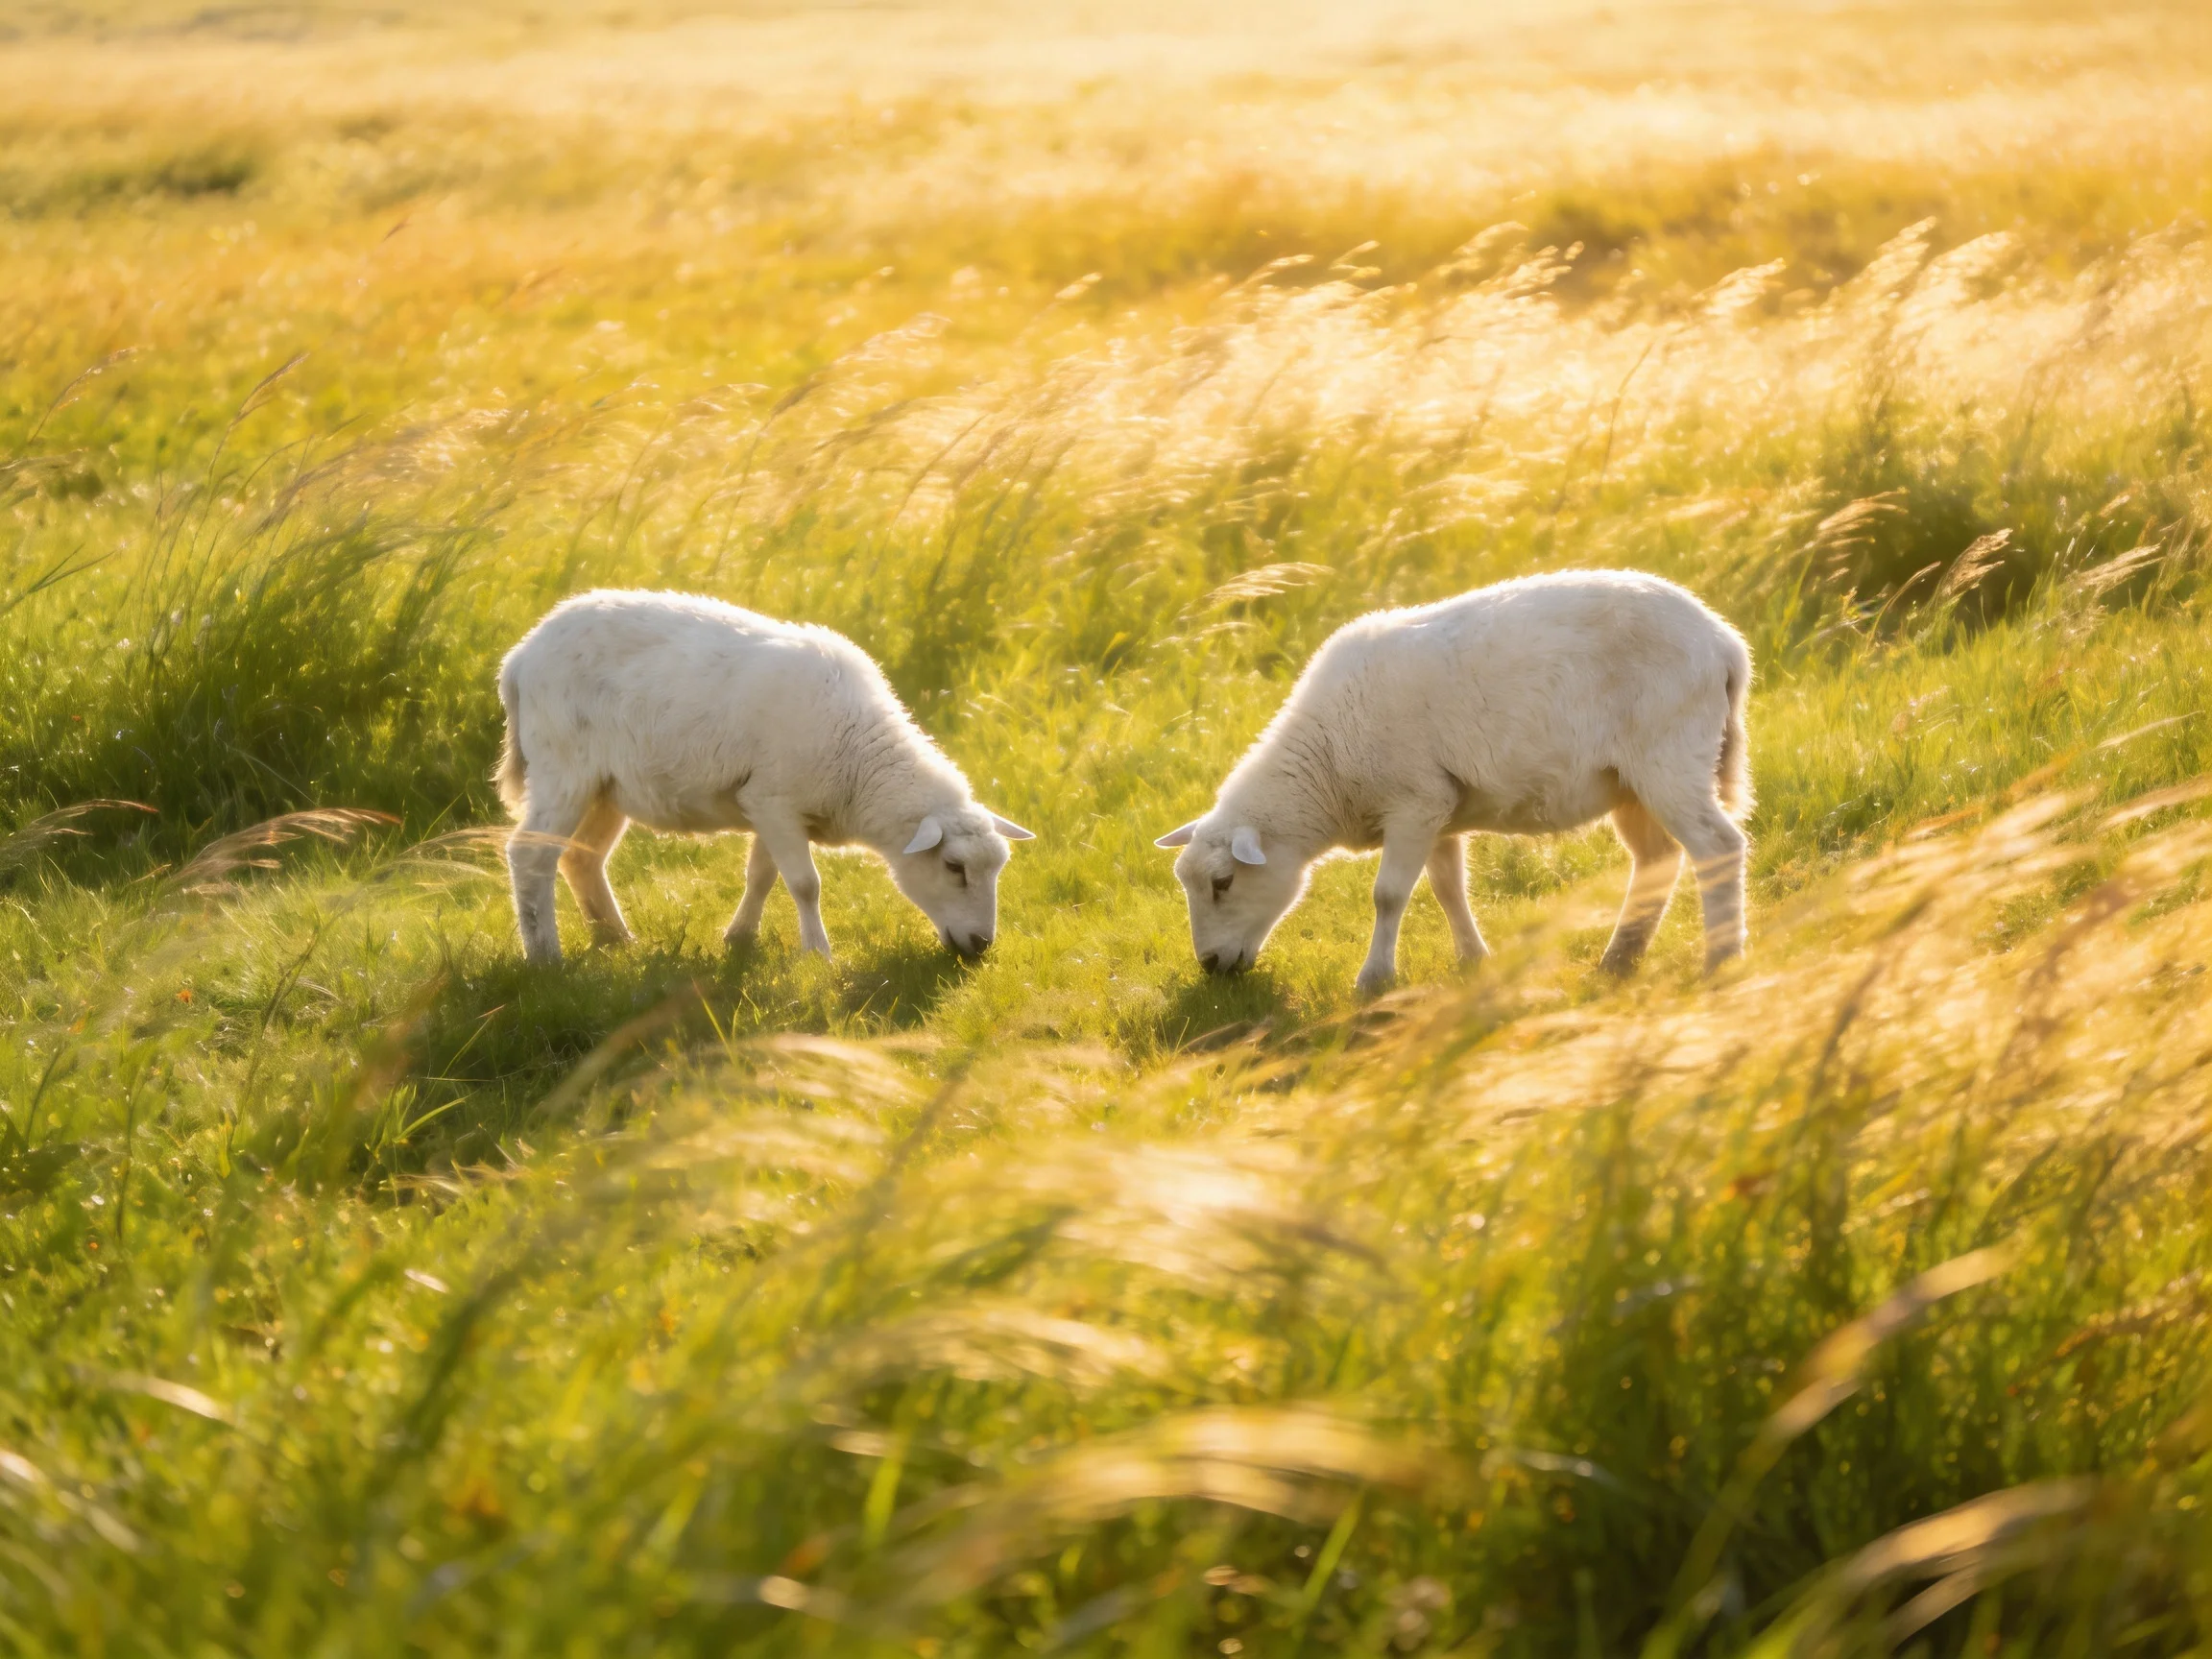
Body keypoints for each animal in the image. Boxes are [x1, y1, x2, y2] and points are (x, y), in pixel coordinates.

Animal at [496, 589, 1033, 968]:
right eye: (954, 867)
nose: (982, 945)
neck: (858, 758)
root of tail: (520, 657)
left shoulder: (769, 804)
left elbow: (763, 876)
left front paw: (740, 939)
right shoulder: (776, 802)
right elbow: (805, 884)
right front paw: (818, 955)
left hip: (605, 789)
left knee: (581, 858)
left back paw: (616, 938)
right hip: (563, 768)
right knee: (530, 855)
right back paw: (545, 957)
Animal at [1155, 570, 1752, 995]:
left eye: (1223, 883)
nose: (1210, 966)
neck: (1326, 765)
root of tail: (1725, 642)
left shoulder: (1413, 802)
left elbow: (1388, 895)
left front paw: (1373, 980)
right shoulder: (1438, 807)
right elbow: (1447, 889)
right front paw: (1473, 958)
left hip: (1669, 756)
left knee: (1718, 847)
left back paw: (1720, 960)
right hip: (1628, 781)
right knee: (1657, 859)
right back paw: (1619, 961)